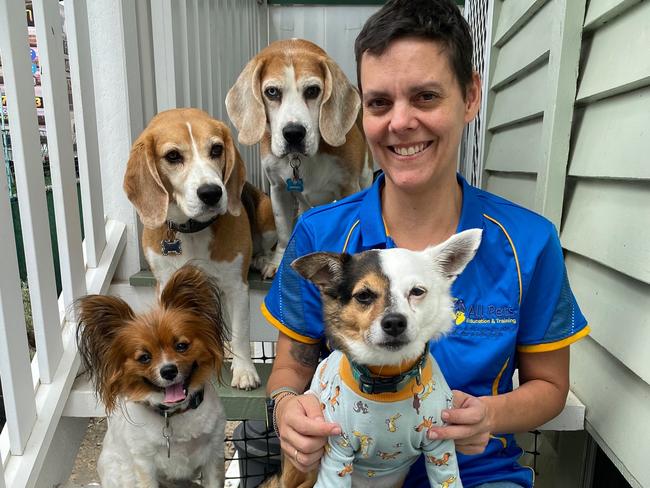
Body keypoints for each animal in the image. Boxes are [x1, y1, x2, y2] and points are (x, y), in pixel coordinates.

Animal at [75, 266, 227, 488]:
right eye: (144, 358)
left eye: (181, 346)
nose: (168, 371)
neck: (173, 414)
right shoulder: (144, 465)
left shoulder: (213, 456)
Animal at [123, 108, 274, 390]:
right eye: (173, 156)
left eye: (216, 149)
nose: (211, 192)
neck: (191, 229)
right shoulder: (166, 284)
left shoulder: (236, 287)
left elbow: (240, 332)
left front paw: (244, 372)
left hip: (267, 212)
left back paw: (265, 261)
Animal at [225, 40, 372, 276]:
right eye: (272, 92)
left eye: (312, 91)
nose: (293, 133)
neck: (300, 159)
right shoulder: (278, 189)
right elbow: (284, 232)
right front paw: (277, 262)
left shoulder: (349, 186)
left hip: (365, 175)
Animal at [284, 230, 480, 488]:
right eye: (364, 295)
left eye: (417, 291)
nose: (395, 321)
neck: (387, 377)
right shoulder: (337, 452)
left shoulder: (439, 446)